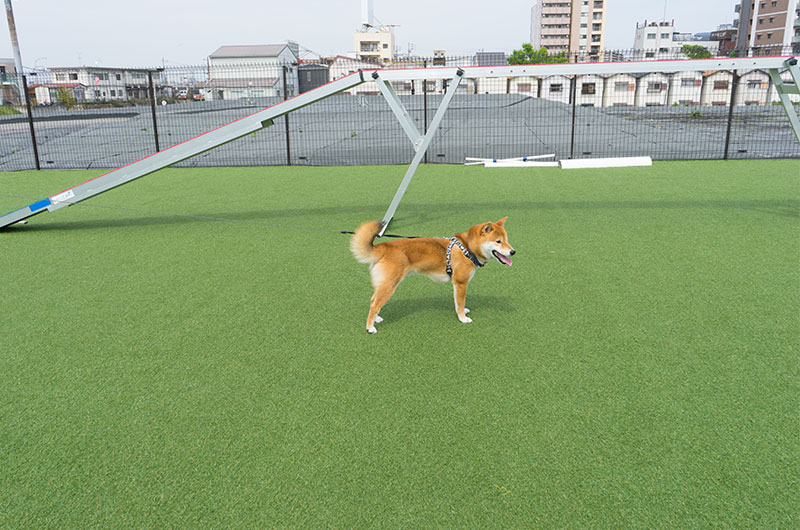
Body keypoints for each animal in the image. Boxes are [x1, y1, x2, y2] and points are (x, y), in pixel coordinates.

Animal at [352, 217, 516, 332]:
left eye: (507, 240)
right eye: (498, 241)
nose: (513, 251)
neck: (468, 247)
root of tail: (384, 246)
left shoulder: (456, 284)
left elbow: (458, 303)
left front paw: (463, 312)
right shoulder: (460, 283)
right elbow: (460, 302)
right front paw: (463, 318)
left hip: (383, 284)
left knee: (373, 301)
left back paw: (376, 318)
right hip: (389, 285)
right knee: (375, 304)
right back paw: (370, 327)